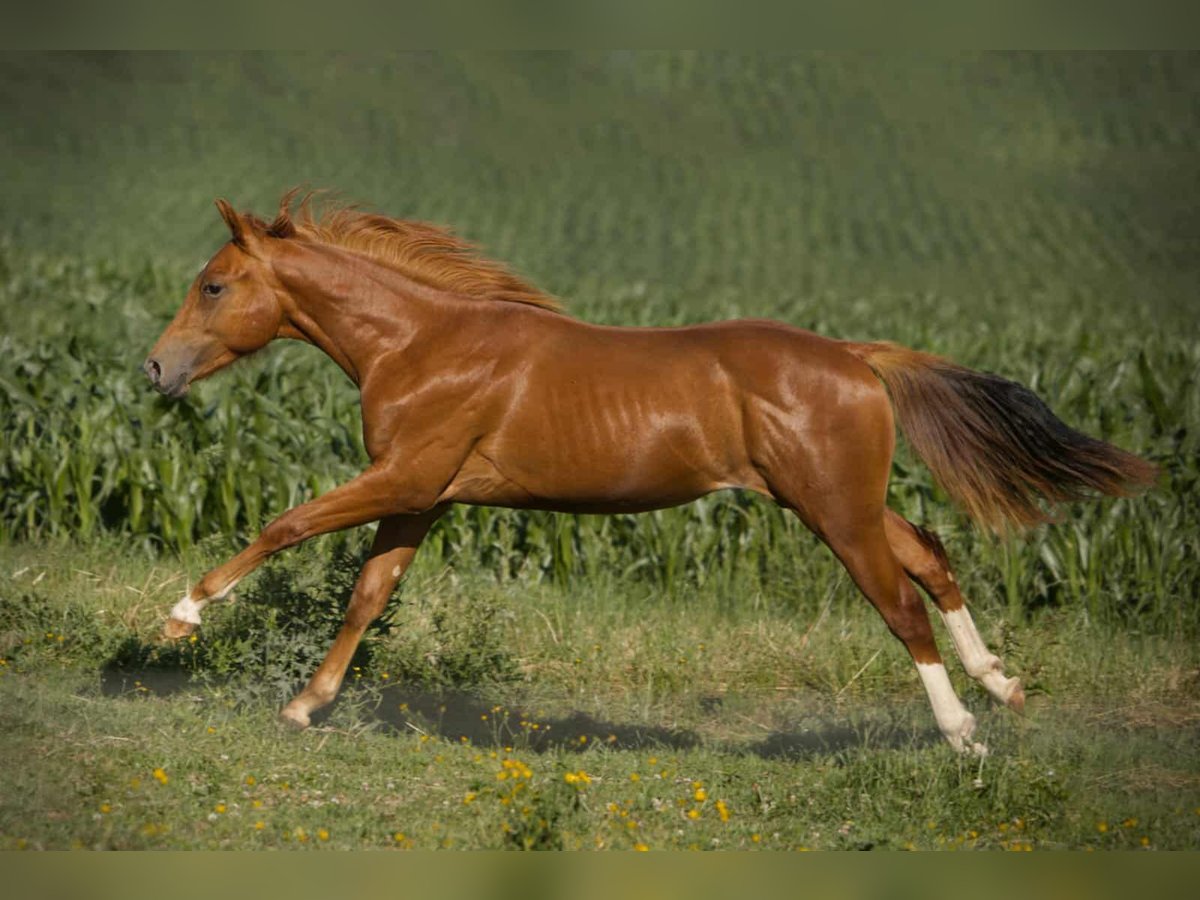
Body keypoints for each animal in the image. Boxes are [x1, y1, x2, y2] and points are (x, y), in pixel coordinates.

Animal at [145, 192, 1156, 754]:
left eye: (213, 284)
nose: (154, 369)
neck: (424, 344)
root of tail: (856, 358)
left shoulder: (402, 479)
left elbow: (286, 524)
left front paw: (179, 617)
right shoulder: (422, 497)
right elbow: (368, 594)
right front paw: (304, 707)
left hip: (833, 509)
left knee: (901, 604)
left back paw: (965, 738)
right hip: (848, 502)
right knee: (934, 554)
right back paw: (1002, 684)